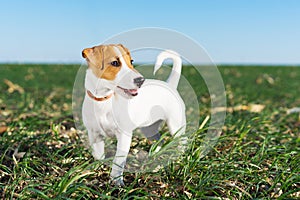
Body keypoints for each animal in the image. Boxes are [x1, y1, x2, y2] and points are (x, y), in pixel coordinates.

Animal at [81, 44, 186, 186]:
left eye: (131, 61)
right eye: (115, 63)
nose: (141, 80)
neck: (104, 100)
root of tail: (170, 85)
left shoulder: (124, 135)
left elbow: (118, 161)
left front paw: (116, 182)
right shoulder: (94, 134)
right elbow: (98, 154)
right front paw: (98, 168)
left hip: (176, 125)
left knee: (183, 141)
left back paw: (180, 158)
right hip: (149, 128)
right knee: (159, 140)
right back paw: (152, 155)